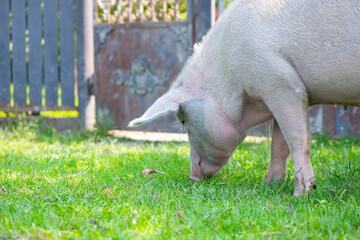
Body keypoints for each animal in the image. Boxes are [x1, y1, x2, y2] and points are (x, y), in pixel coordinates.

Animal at [129, 0, 360, 195]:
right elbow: (279, 144)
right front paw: (269, 186)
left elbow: (297, 140)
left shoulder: (282, 84)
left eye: (183, 121)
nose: (192, 176)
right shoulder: (280, 92)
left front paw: (301, 194)